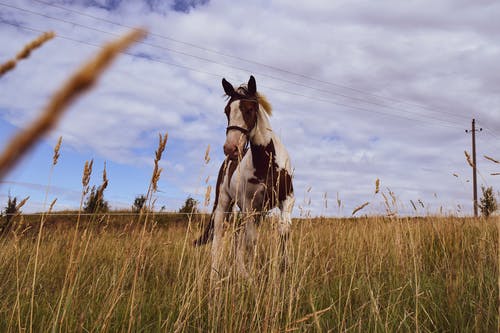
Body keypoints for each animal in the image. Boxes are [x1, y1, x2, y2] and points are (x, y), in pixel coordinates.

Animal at [193, 74, 294, 278]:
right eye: (227, 111)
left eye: (250, 109)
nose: (231, 148)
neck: (266, 163)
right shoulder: (248, 204)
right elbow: (252, 239)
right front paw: (254, 276)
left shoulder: (286, 199)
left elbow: (283, 231)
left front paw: (285, 268)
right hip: (224, 204)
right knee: (219, 237)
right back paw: (216, 275)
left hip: (256, 212)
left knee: (238, 236)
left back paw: (242, 273)